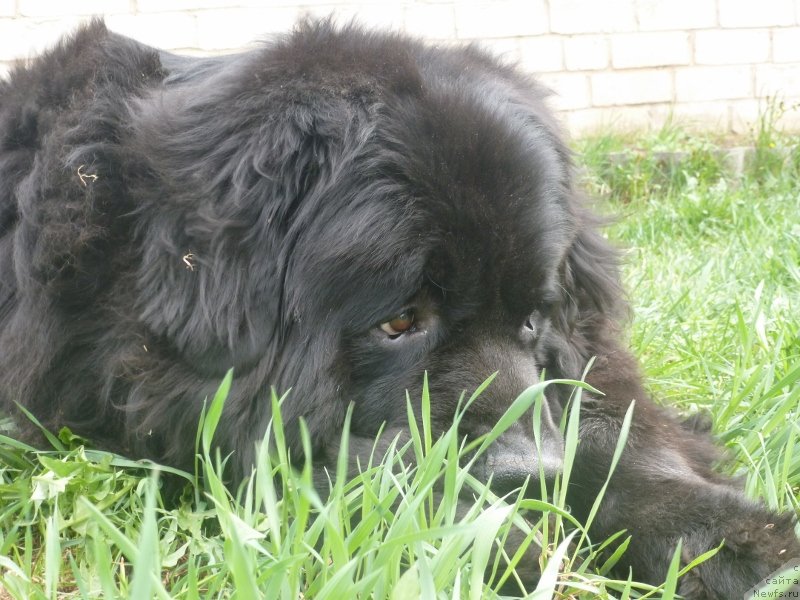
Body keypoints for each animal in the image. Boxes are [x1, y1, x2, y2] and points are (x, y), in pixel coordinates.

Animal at [0, 17, 796, 596]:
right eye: (399, 321)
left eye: (532, 319)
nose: (531, 471)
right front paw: (500, 541)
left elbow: (611, 427)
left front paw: (732, 538)